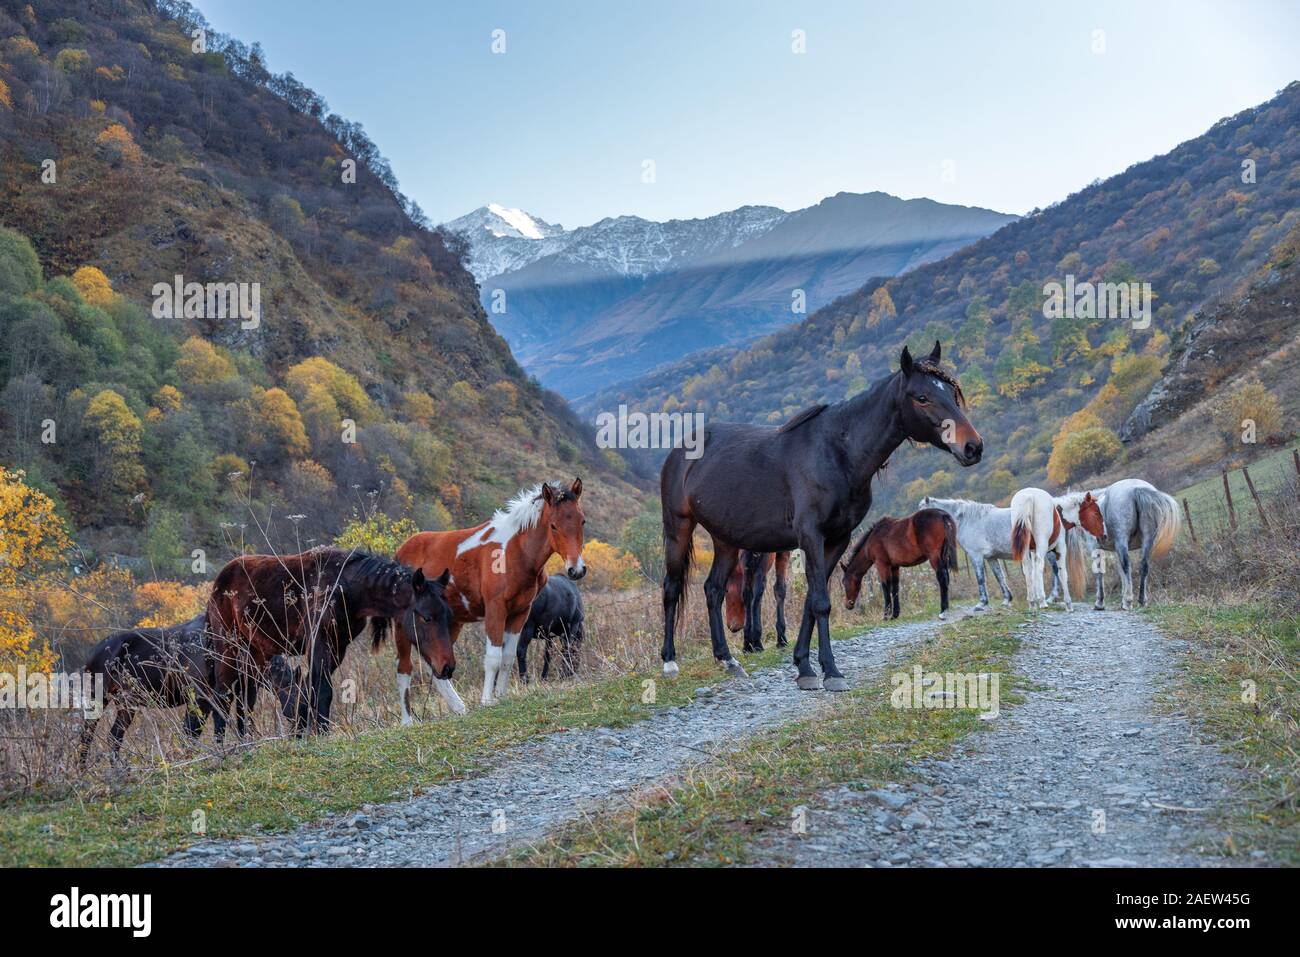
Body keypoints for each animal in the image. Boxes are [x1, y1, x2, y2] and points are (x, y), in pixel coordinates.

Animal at [205, 548, 449, 738]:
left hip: (256, 654)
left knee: (245, 698)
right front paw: (321, 732)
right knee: (223, 696)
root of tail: (217, 584)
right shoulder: (319, 642)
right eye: (426, 617)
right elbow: (322, 689)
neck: (345, 586)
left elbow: (310, 689)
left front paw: (304, 730)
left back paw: (247, 739)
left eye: (449, 614)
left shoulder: (338, 647)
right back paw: (222, 746)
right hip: (228, 649)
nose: (447, 667)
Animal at [384, 478, 590, 717]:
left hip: (448, 622)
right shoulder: (495, 609)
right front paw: (486, 701)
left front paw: (500, 696)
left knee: (435, 662)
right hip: (404, 626)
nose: (576, 569)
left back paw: (459, 707)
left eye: (582, 521)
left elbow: (508, 657)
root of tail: (399, 554)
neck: (514, 552)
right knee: (404, 666)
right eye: (554, 525)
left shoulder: (520, 613)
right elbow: (493, 658)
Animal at [660, 340, 982, 691]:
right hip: (678, 528)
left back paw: (727, 659)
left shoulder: (837, 539)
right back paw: (669, 662)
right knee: (672, 588)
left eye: (953, 394)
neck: (837, 454)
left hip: (726, 540)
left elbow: (812, 602)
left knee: (713, 590)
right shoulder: (810, 537)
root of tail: (680, 451)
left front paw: (804, 666)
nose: (972, 447)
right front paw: (831, 671)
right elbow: (821, 602)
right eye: (922, 397)